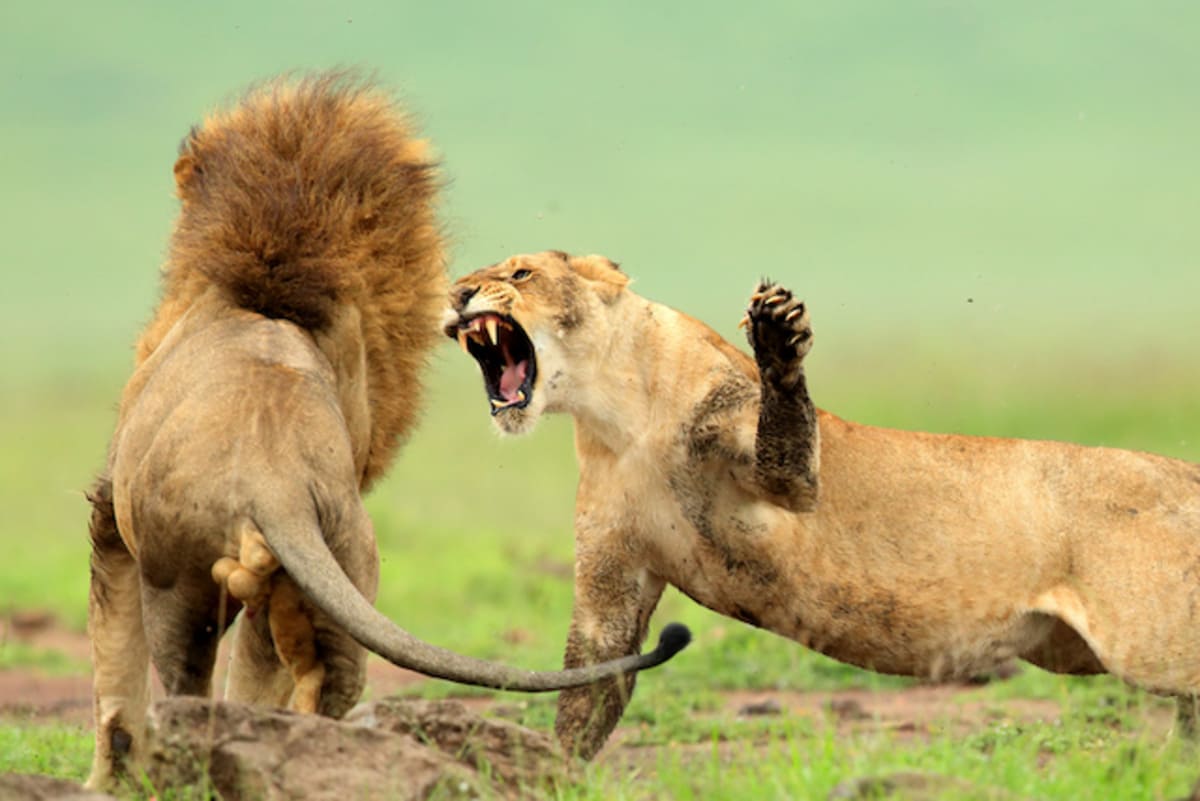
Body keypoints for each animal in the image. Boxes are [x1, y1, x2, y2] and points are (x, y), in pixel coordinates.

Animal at [85, 79, 689, 790]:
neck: (264, 295)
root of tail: (273, 481)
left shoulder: (108, 513)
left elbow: (115, 678)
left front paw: (104, 783)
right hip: (339, 574)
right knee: (308, 690)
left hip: (179, 581)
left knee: (189, 686)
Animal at [444, 249, 1200, 759]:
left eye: (520, 273)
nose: (456, 293)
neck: (615, 412)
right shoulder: (613, 574)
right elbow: (589, 687)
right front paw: (554, 771)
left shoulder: (789, 480)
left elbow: (788, 432)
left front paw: (778, 336)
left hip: (1148, 638)